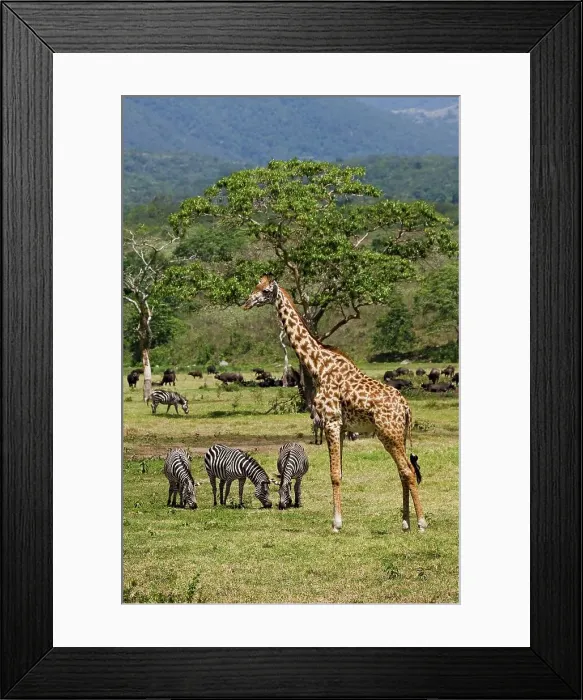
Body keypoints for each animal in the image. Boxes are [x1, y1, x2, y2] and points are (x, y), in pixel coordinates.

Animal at [242, 275, 427, 533]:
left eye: (266, 291)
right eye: (256, 286)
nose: (247, 302)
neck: (318, 365)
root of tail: (406, 407)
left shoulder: (330, 421)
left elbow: (334, 475)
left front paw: (336, 524)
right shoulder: (340, 427)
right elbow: (340, 472)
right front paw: (338, 520)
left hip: (389, 432)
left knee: (408, 471)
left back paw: (421, 523)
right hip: (392, 435)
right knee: (403, 471)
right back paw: (405, 523)